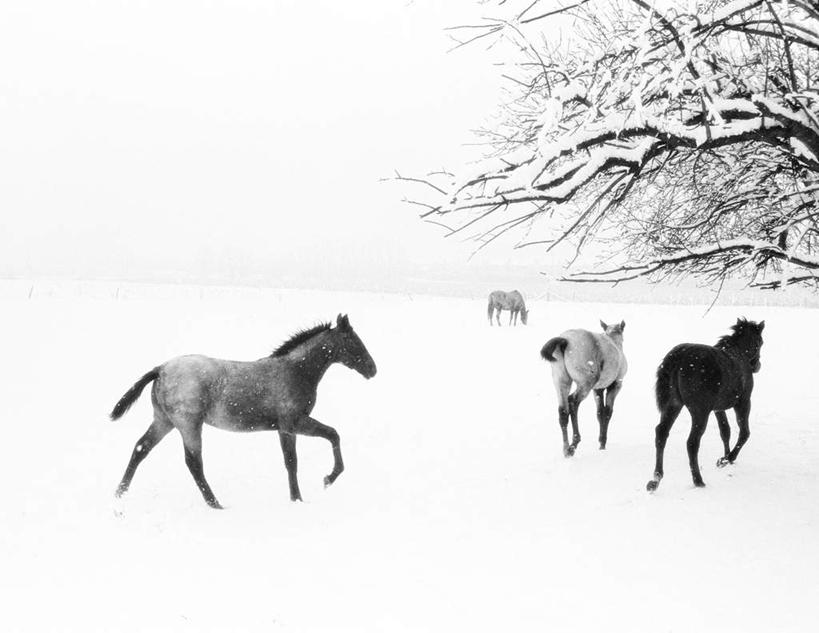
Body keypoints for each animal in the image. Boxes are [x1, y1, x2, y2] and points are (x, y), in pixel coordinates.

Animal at [109, 314, 377, 508]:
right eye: (353, 341)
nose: (373, 369)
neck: (295, 371)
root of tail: (161, 369)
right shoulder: (293, 422)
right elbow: (328, 438)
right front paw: (325, 481)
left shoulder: (284, 428)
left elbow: (296, 458)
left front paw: (301, 496)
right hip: (189, 425)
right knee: (193, 462)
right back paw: (215, 504)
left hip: (164, 421)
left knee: (141, 448)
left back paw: (120, 493)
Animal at [540, 321, 627, 457]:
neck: (614, 340)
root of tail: (565, 340)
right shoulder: (616, 385)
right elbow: (607, 412)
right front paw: (602, 443)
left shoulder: (597, 389)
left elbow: (600, 413)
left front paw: (601, 442)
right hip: (586, 383)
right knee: (573, 402)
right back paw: (574, 444)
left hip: (561, 381)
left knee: (563, 411)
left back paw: (566, 449)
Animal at [646, 318, 764, 492]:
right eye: (759, 342)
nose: (757, 366)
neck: (739, 353)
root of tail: (679, 357)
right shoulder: (743, 402)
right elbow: (744, 433)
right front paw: (728, 458)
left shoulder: (717, 408)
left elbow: (725, 431)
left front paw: (724, 458)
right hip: (699, 411)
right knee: (692, 442)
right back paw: (698, 480)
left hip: (673, 404)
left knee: (661, 433)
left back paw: (656, 479)